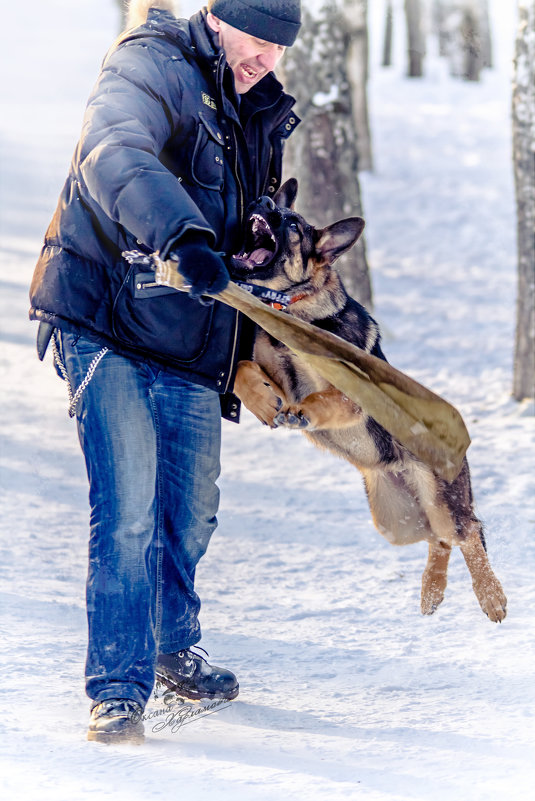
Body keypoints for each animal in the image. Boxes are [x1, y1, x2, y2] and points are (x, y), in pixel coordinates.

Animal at [231, 178, 506, 620]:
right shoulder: (269, 366)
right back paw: (432, 591)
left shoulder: (348, 392)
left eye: (292, 224)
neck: (291, 306)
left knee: (468, 531)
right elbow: (243, 367)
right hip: (394, 521)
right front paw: (262, 401)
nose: (263, 197)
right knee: (440, 538)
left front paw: (301, 412)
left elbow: (322, 398)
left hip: (442, 501)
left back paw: (491, 596)